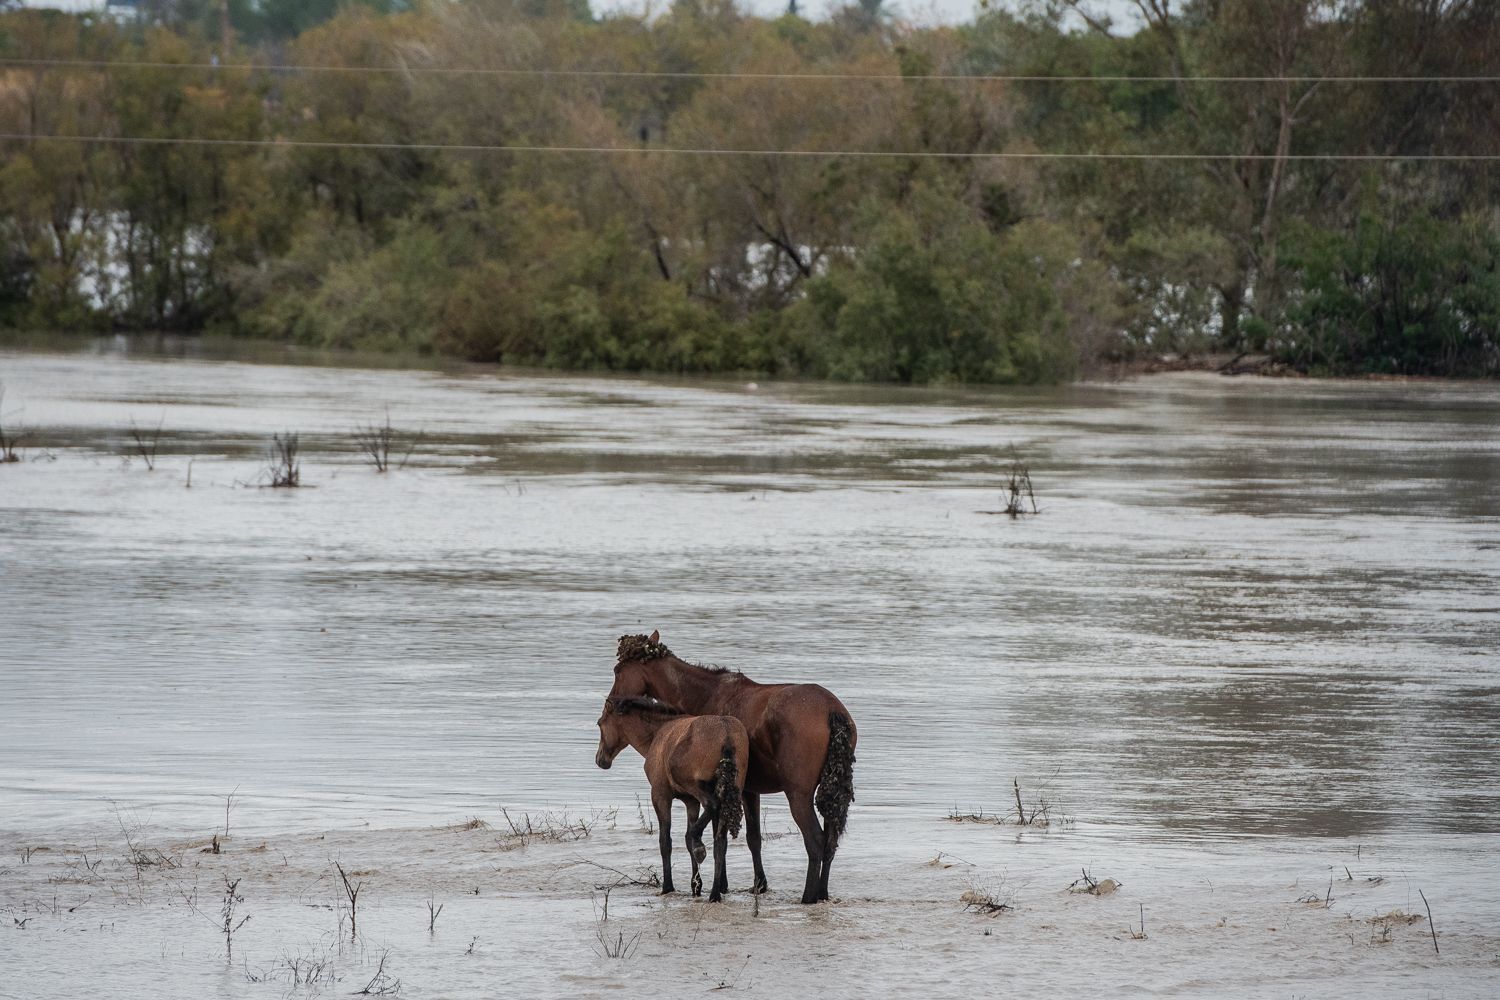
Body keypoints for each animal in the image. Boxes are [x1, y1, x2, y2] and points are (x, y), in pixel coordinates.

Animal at [591, 695, 744, 899]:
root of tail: (726, 734)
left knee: (711, 807)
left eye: (600, 723)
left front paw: (668, 886)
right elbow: (687, 839)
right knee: (720, 841)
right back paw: (714, 894)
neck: (657, 734)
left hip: (698, 786)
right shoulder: (690, 801)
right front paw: (696, 886)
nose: (600, 759)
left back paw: (700, 848)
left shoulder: (660, 795)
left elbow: (665, 841)